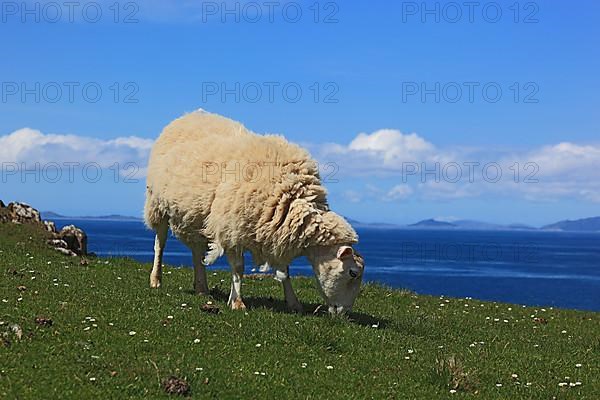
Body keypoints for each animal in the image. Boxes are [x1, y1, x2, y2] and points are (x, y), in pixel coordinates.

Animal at [144, 111, 366, 314]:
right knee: (160, 244)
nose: (344, 313)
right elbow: (238, 267)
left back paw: (201, 288)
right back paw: (156, 279)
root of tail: (189, 115)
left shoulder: (277, 233)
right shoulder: (232, 227)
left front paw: (293, 302)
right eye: (353, 273)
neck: (290, 196)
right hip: (157, 204)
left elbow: (285, 272)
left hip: (196, 216)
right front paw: (237, 302)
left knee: (197, 251)